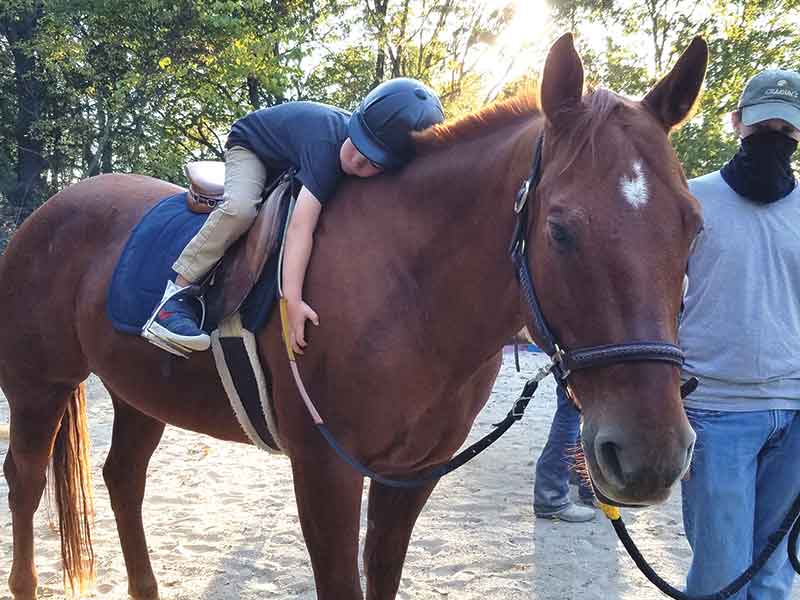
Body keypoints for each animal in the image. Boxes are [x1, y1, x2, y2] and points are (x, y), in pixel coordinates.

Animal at [3, 35, 708, 596]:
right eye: (560, 230)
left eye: (693, 225)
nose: (651, 452)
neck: (411, 291)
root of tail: (49, 210)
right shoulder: (326, 472)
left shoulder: (410, 477)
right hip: (38, 385)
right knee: (26, 477)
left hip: (140, 392)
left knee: (123, 479)